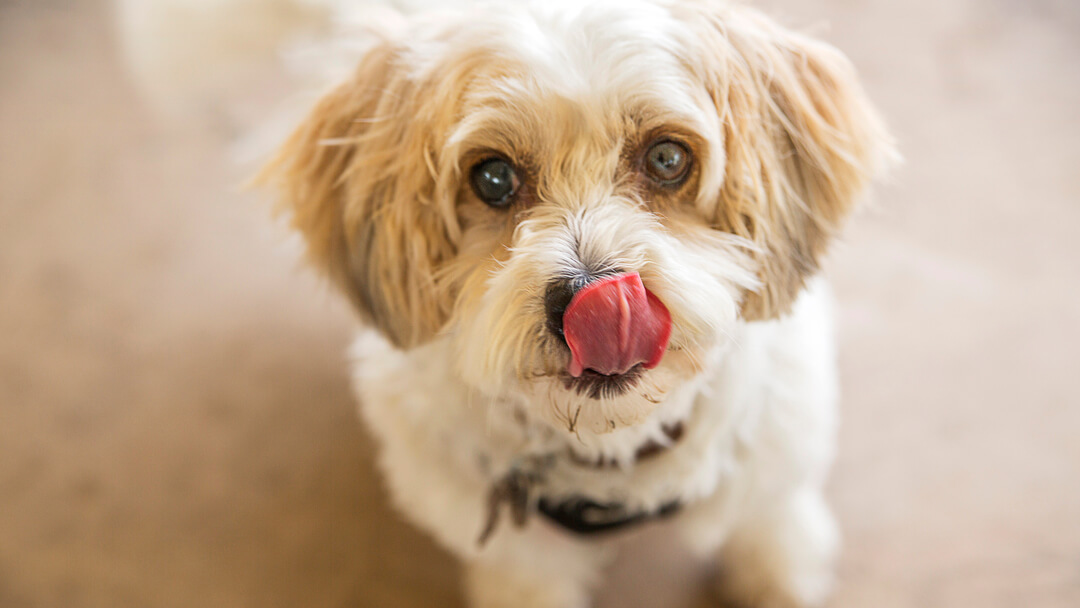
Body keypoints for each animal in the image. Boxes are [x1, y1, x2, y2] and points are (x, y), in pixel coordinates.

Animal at [122, 0, 894, 604]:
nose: (590, 299)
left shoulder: (776, 448)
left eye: (668, 159)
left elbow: (768, 520)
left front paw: (783, 573)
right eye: (492, 178)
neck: (610, 457)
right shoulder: (502, 538)